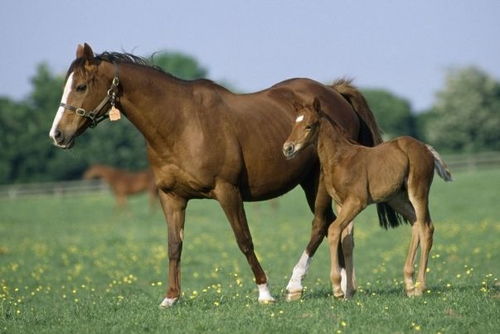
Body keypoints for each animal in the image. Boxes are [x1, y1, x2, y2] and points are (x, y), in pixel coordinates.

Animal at [48, 43, 390, 306]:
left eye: (80, 86)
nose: (58, 135)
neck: (182, 123)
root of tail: (333, 92)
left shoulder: (227, 191)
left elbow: (244, 240)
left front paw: (265, 293)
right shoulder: (171, 197)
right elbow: (174, 246)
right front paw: (170, 298)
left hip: (316, 182)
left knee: (321, 225)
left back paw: (296, 285)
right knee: (337, 226)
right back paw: (343, 285)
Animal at [282, 98, 454, 298]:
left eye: (308, 126)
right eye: (294, 124)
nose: (287, 148)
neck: (340, 158)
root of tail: (425, 147)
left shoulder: (356, 202)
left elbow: (333, 230)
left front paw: (337, 289)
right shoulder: (341, 204)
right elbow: (347, 241)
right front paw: (349, 292)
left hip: (418, 191)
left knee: (426, 228)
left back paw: (420, 287)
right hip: (397, 199)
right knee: (416, 223)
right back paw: (409, 285)